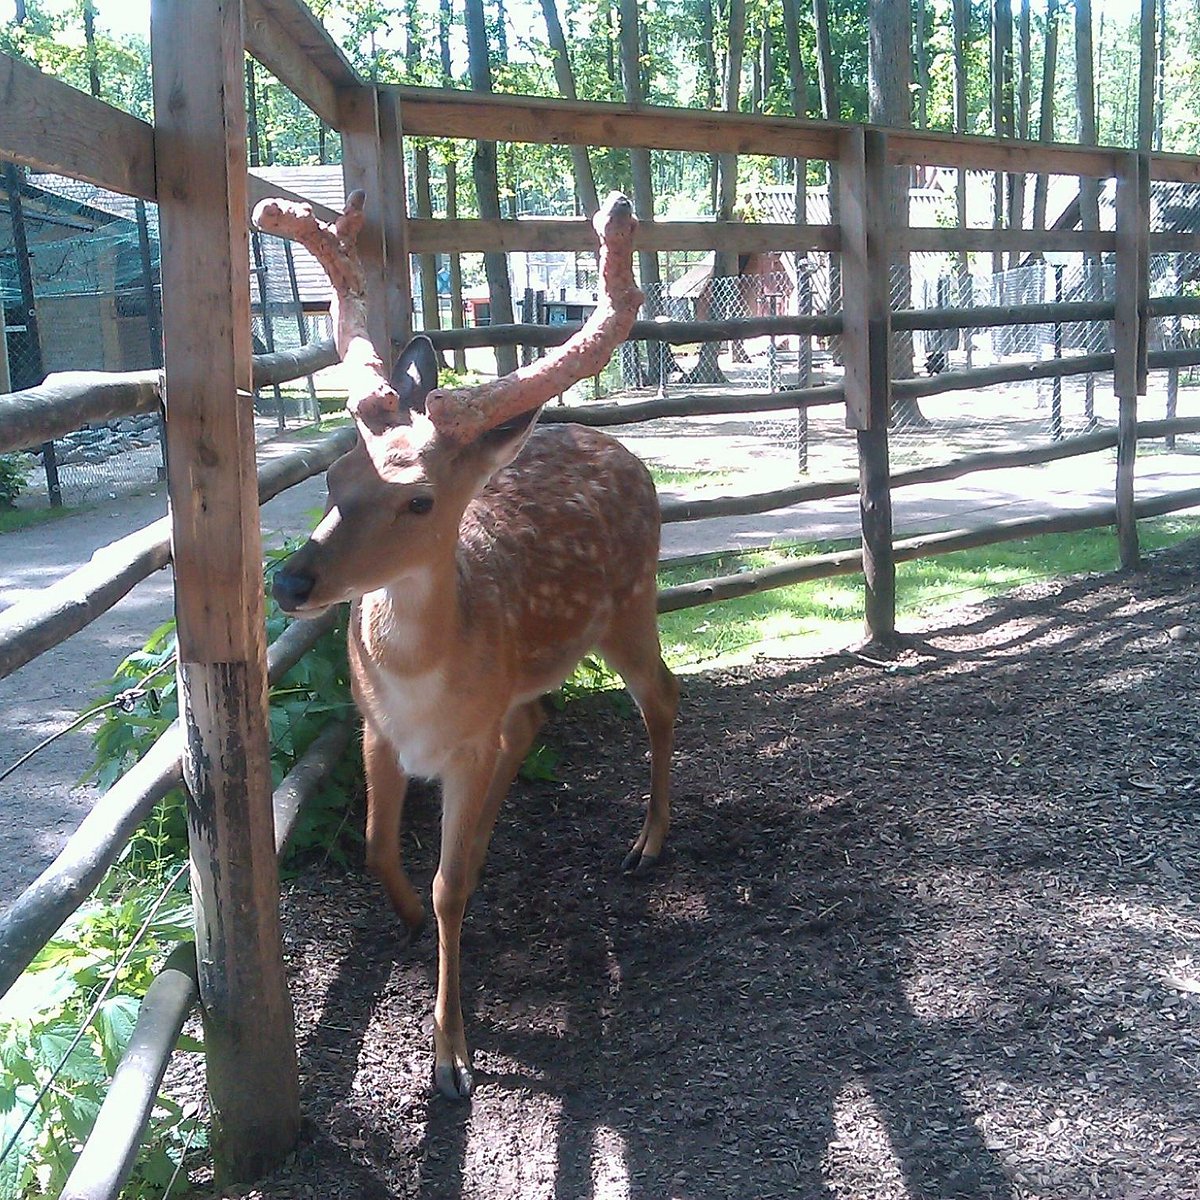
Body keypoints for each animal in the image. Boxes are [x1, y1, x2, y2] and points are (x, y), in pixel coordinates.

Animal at [256, 192, 681, 1099]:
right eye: (334, 478)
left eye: (417, 500)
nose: (291, 584)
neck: (420, 685)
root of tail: (621, 447)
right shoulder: (375, 728)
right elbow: (377, 847)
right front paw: (409, 914)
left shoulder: (462, 744)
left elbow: (453, 886)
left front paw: (451, 1055)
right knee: (536, 720)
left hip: (632, 604)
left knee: (661, 694)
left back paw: (647, 842)